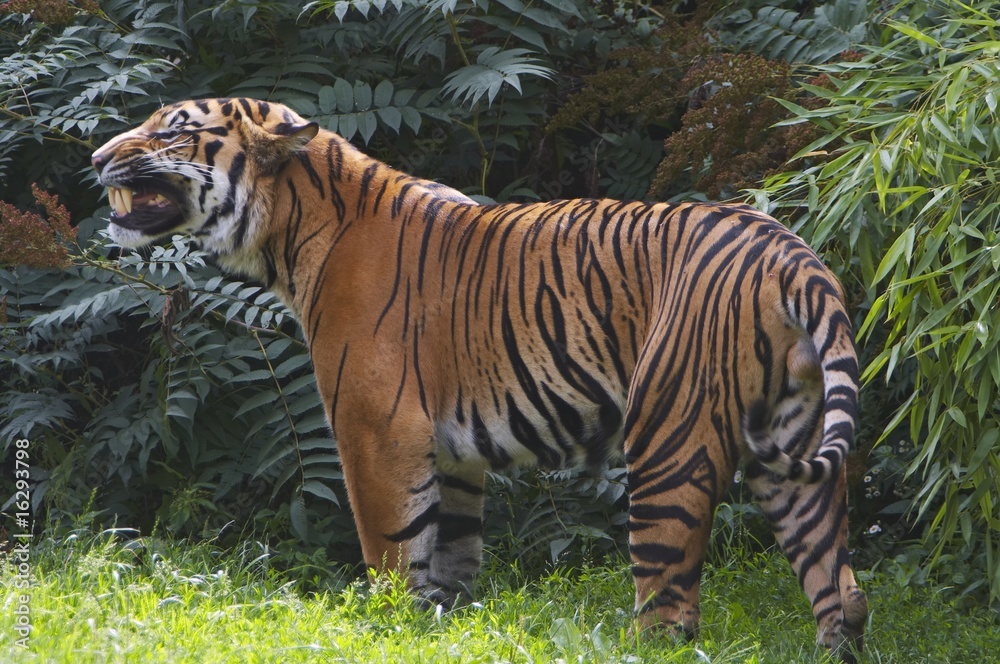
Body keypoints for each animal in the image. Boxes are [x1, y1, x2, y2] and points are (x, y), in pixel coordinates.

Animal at [91, 97, 868, 660]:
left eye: (176, 130)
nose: (97, 157)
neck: (291, 231)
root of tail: (790, 252)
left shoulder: (375, 428)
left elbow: (391, 550)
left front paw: (389, 629)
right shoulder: (452, 449)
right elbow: (451, 555)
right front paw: (441, 627)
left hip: (669, 435)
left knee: (672, 608)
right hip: (792, 445)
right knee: (839, 582)